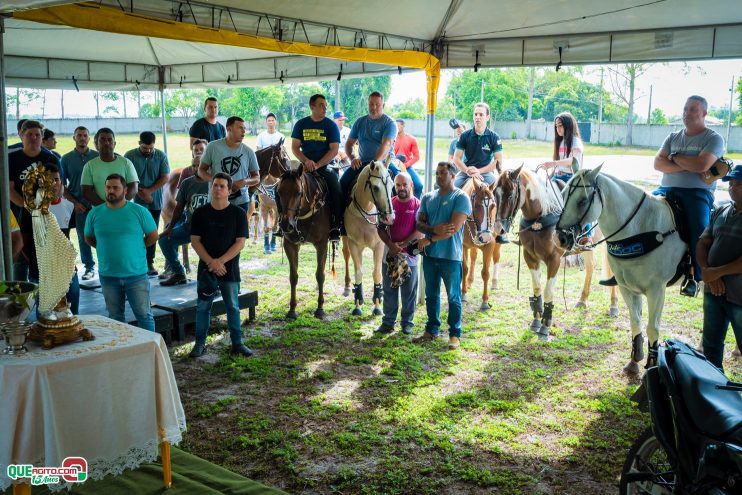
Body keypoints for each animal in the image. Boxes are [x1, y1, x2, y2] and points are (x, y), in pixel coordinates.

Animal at [276, 165, 334, 320]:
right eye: (279, 192)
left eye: (298, 193)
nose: (286, 225)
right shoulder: (290, 245)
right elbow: (293, 277)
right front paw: (292, 309)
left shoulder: (321, 245)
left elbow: (320, 275)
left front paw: (320, 308)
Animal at [344, 163, 398, 318]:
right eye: (375, 187)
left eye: (392, 184)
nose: (389, 218)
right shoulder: (353, 244)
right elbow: (358, 272)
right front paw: (357, 304)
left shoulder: (379, 245)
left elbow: (376, 273)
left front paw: (378, 305)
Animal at [460, 178, 506, 310]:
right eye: (476, 206)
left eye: (493, 206)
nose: (484, 237)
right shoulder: (463, 246)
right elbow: (464, 269)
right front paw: (463, 295)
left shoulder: (489, 245)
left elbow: (485, 273)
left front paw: (485, 302)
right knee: (473, 257)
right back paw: (469, 282)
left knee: (496, 257)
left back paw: (494, 282)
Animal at [496, 167, 568, 340]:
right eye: (494, 192)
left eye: (510, 194)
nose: (499, 229)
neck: (540, 217)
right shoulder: (530, 257)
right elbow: (537, 288)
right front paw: (536, 320)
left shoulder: (555, 259)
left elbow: (548, 292)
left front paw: (546, 325)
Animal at [560, 165, 684, 374]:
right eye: (562, 195)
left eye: (582, 200)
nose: (561, 237)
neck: (641, 230)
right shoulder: (628, 287)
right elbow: (636, 322)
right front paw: (634, 361)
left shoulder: (657, 289)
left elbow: (653, 327)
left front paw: (651, 365)